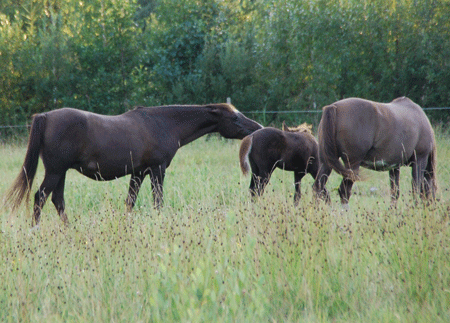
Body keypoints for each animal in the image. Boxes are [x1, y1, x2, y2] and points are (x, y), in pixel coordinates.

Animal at [6, 104, 260, 225]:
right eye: (235, 117)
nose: (257, 127)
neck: (164, 124)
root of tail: (46, 117)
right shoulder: (157, 170)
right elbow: (158, 202)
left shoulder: (138, 173)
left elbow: (130, 202)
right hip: (55, 171)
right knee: (40, 197)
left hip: (61, 172)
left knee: (57, 200)